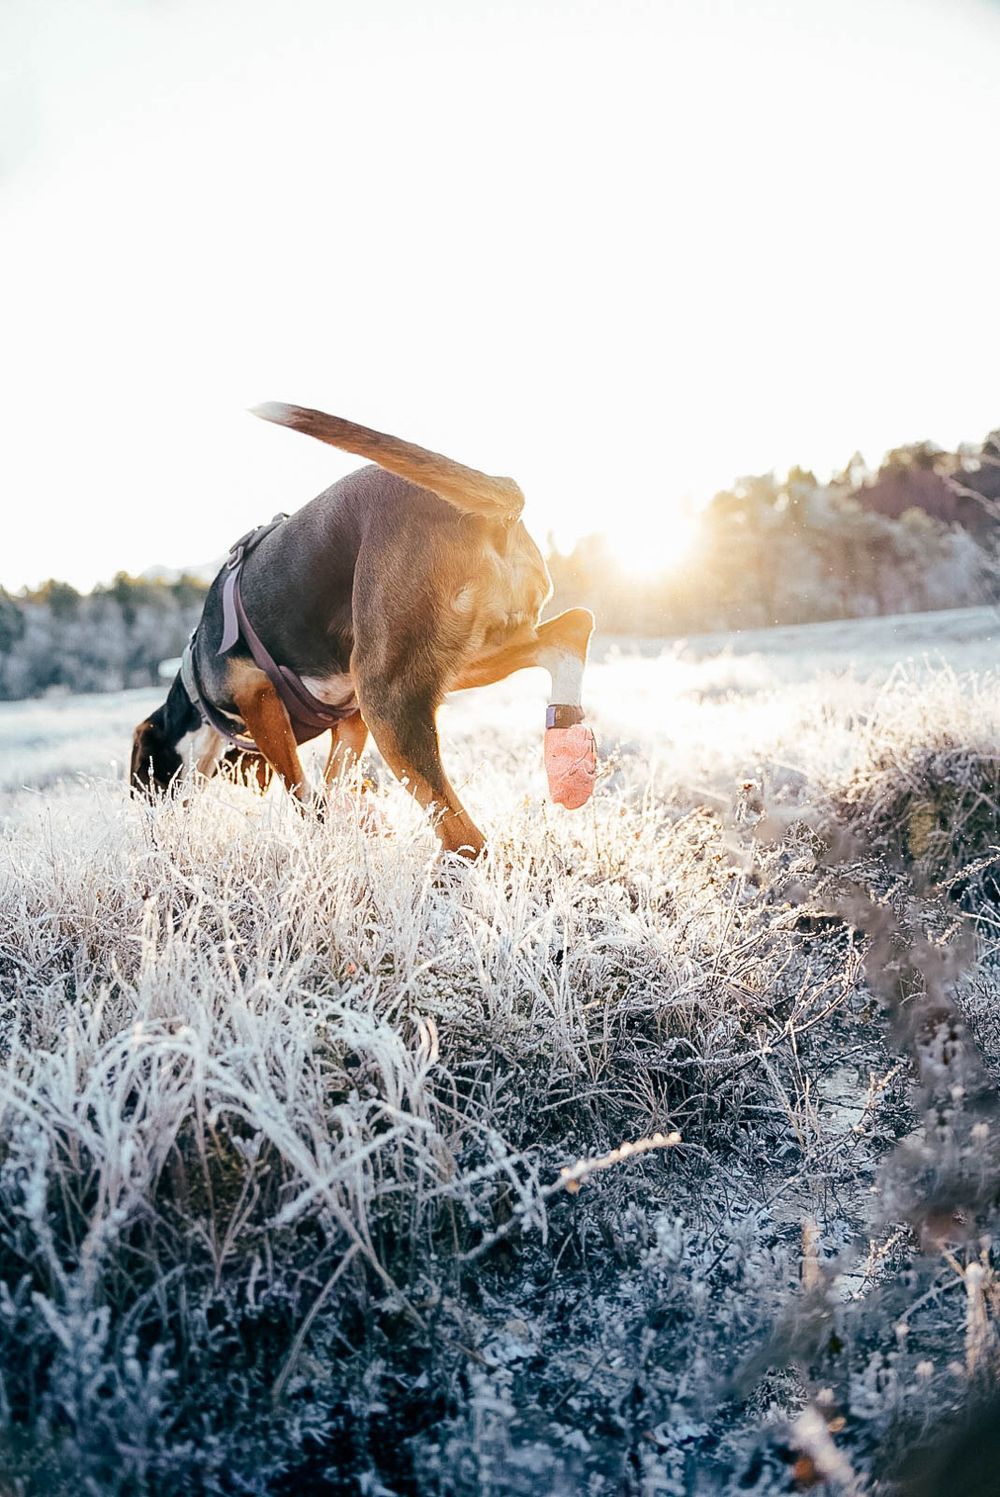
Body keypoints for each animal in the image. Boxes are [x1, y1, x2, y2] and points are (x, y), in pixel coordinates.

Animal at [125, 404, 592, 862]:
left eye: (143, 780)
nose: (151, 839)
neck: (196, 687)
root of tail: (494, 509)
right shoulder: (349, 719)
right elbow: (333, 783)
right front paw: (349, 827)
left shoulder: (260, 700)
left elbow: (301, 790)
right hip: (453, 657)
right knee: (571, 630)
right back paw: (569, 757)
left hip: (386, 694)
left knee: (467, 840)